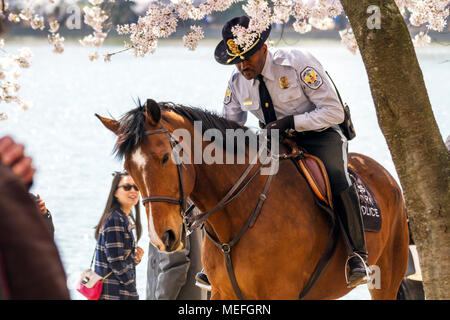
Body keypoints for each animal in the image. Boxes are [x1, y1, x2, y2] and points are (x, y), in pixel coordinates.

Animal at [96, 100, 410, 300]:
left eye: (164, 157)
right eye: (130, 167)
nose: (163, 238)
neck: (239, 213)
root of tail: (385, 174)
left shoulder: (281, 293)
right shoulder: (222, 292)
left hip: (386, 279)